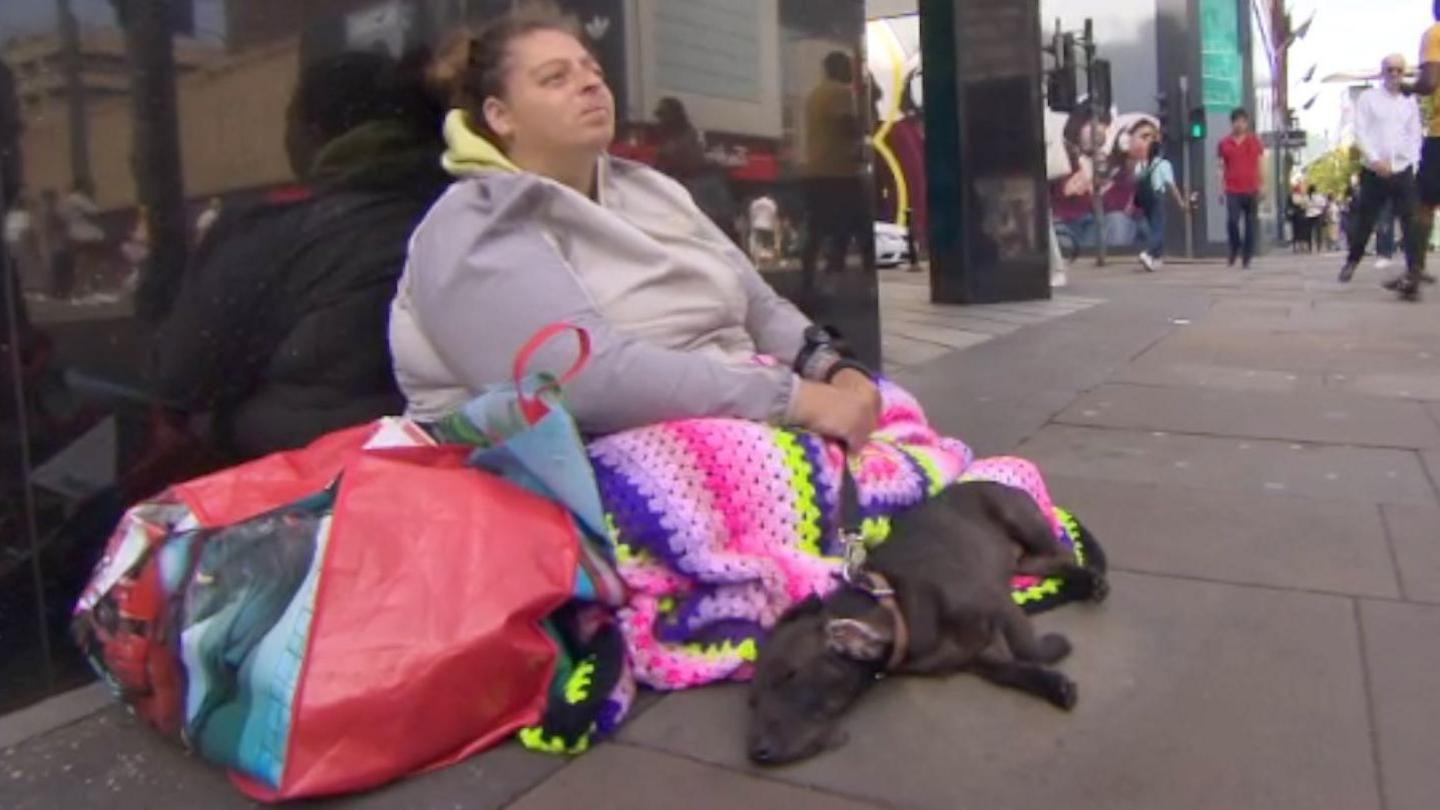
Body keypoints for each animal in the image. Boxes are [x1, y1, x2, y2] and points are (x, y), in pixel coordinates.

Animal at [743, 478, 1100, 760]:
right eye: (753, 702)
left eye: (790, 676)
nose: (757, 752)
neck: (897, 607)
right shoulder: (979, 657)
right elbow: (1011, 671)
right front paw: (1052, 685)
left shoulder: (998, 603)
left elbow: (1028, 648)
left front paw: (1053, 651)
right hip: (1024, 559)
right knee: (1045, 562)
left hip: (1021, 521)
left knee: (1063, 554)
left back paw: (1091, 581)